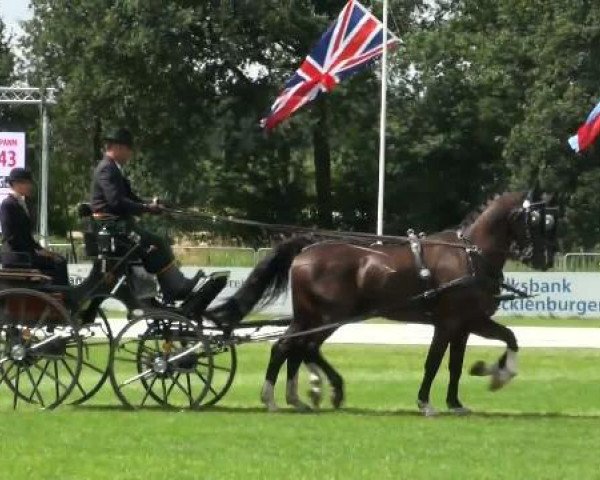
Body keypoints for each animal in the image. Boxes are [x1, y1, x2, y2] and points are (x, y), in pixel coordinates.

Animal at [211, 189, 556, 414]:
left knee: (293, 347)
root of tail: (306, 249)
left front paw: (466, 394)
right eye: (538, 221)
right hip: (326, 317)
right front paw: (427, 402)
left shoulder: (466, 323)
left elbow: (469, 358)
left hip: (311, 317)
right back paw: (288, 396)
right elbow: (434, 362)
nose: (545, 259)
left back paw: (297, 396)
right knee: (295, 347)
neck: (470, 256)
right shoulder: (449, 323)